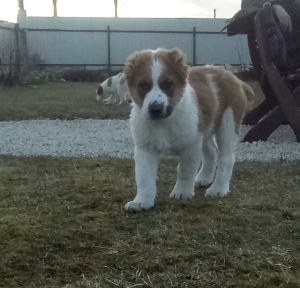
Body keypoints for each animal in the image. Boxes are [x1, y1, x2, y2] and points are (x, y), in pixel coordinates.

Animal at [122, 48, 253, 212]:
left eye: (168, 84)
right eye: (143, 85)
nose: (155, 109)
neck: (163, 123)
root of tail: (233, 77)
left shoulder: (190, 145)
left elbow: (185, 170)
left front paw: (182, 192)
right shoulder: (145, 148)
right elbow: (144, 177)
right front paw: (141, 201)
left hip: (228, 123)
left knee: (226, 158)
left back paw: (218, 188)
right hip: (205, 128)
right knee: (211, 151)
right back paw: (203, 178)